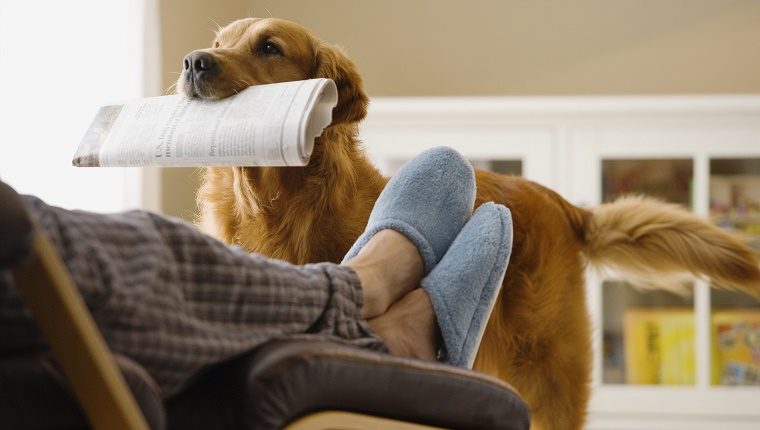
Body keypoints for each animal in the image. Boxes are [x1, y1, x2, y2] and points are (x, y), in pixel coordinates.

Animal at [180, 18, 760, 428]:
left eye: (269, 47)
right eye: (221, 41)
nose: (192, 62)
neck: (276, 198)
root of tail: (560, 202)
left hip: (546, 375)